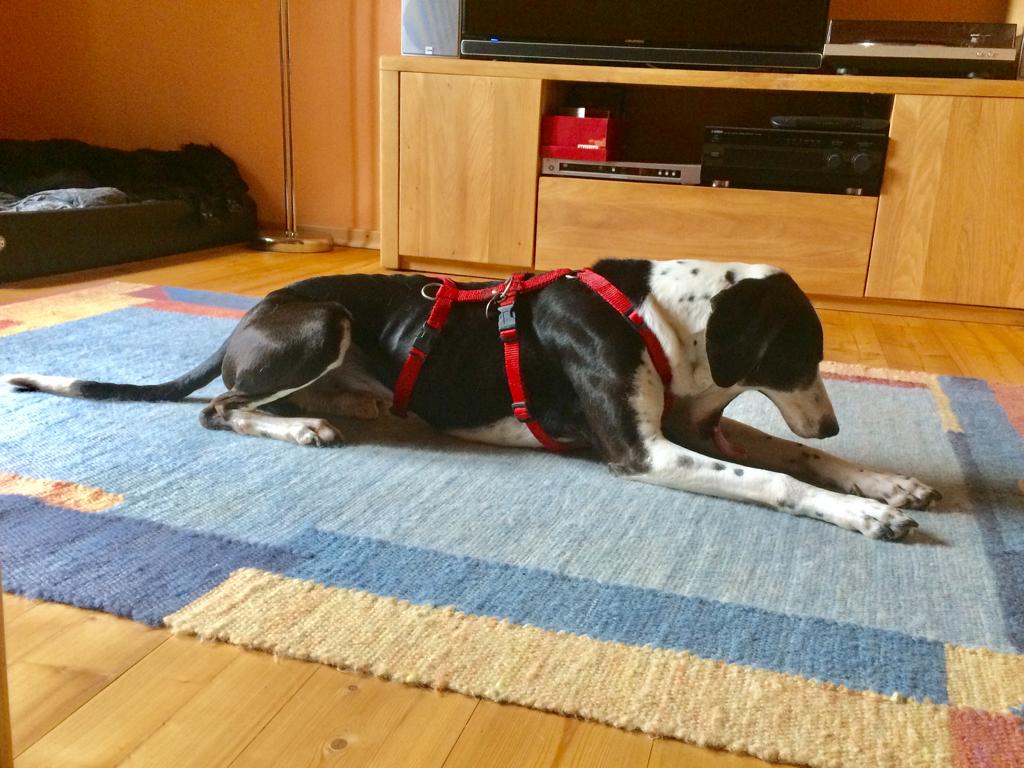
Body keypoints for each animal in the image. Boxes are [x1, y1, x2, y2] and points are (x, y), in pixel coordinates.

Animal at [4, 258, 940, 540]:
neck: (655, 315)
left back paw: (355, 409)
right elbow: (780, 478)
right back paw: (302, 425)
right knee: (221, 408)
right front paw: (869, 515)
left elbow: (793, 453)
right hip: (323, 324)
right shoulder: (645, 450)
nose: (837, 417)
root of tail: (248, 315)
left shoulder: (696, 425)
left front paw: (885, 482)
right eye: (799, 357)